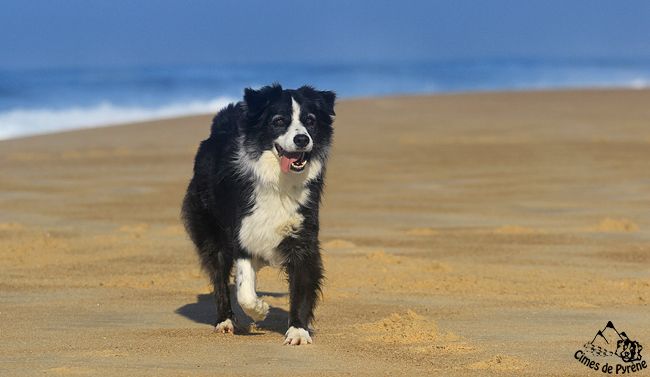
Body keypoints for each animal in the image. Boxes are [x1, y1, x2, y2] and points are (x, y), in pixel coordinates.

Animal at [181, 83, 334, 346]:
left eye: (310, 120)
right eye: (279, 121)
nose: (302, 139)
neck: (278, 183)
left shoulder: (303, 236)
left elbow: (302, 285)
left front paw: (298, 331)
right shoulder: (242, 231)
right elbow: (244, 290)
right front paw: (260, 310)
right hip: (210, 229)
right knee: (219, 276)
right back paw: (225, 321)